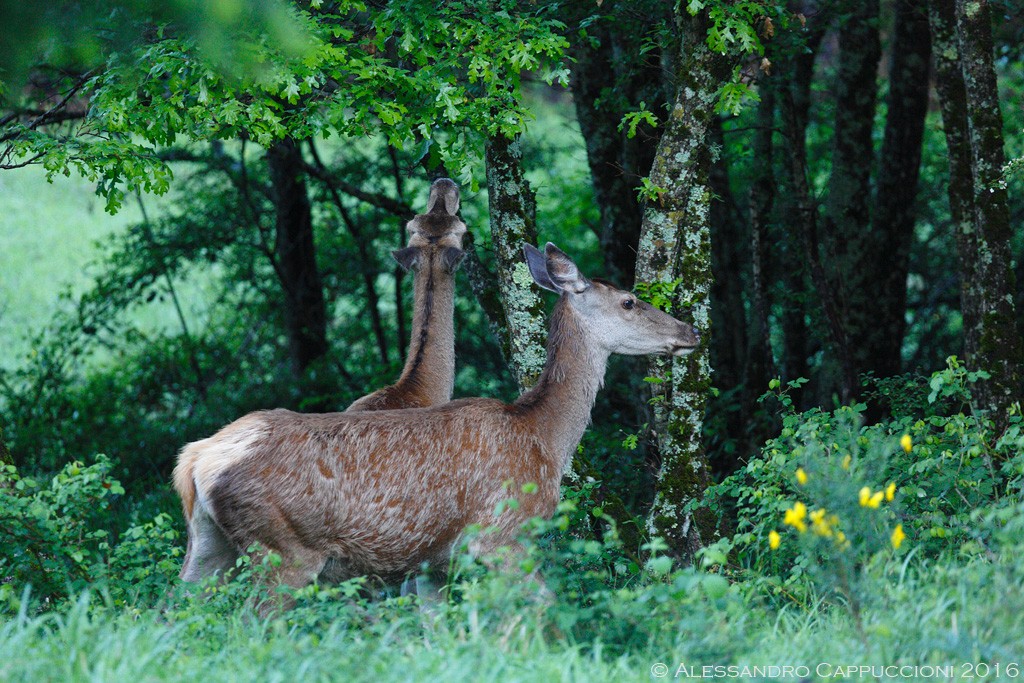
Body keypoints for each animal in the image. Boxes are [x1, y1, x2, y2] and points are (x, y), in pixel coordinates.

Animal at [172, 242, 700, 593]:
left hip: (206, 546)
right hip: (284, 551)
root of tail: (194, 462)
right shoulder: (502, 533)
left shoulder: (430, 564)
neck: (543, 437)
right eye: (629, 300)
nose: (690, 331)